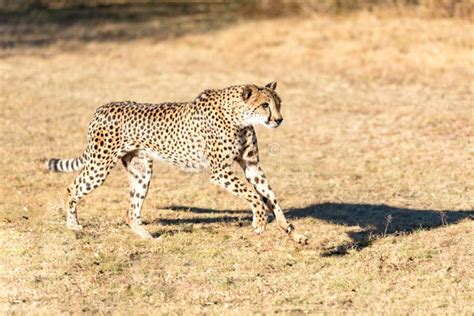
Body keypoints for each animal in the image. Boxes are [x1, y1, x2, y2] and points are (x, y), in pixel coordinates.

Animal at [46, 82, 308, 244]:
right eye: (265, 105)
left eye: (278, 104)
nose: (279, 120)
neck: (238, 116)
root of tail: (103, 107)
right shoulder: (220, 171)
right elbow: (254, 196)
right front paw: (260, 220)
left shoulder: (252, 166)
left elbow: (272, 197)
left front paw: (293, 233)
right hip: (100, 165)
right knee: (72, 188)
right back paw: (73, 225)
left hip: (142, 170)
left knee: (131, 211)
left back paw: (147, 237)